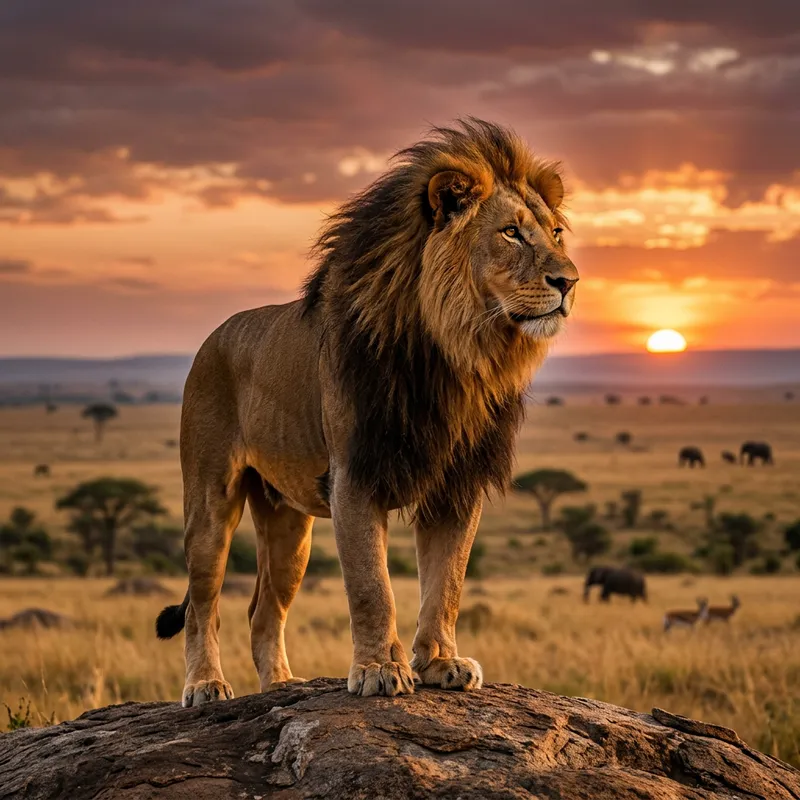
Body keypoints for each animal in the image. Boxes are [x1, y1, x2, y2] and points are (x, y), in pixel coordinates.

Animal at [155, 118, 579, 705]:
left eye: (556, 233)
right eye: (511, 233)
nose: (570, 281)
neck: (454, 352)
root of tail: (213, 337)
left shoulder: (457, 484)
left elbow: (446, 582)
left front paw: (441, 662)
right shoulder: (355, 475)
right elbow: (371, 586)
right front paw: (381, 669)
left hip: (290, 527)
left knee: (262, 610)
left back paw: (282, 684)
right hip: (210, 503)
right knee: (203, 606)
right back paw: (206, 685)